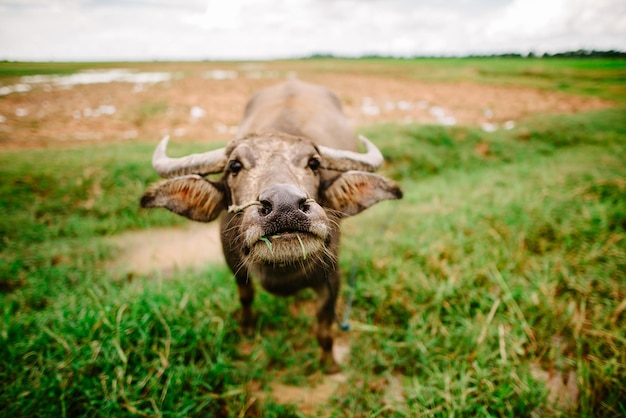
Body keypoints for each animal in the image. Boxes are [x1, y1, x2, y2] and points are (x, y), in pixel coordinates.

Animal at [140, 79, 402, 372]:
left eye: (314, 163)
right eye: (235, 165)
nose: (285, 206)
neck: (282, 271)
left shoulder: (332, 277)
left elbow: (324, 328)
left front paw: (329, 364)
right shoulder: (235, 268)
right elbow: (246, 298)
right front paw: (247, 329)